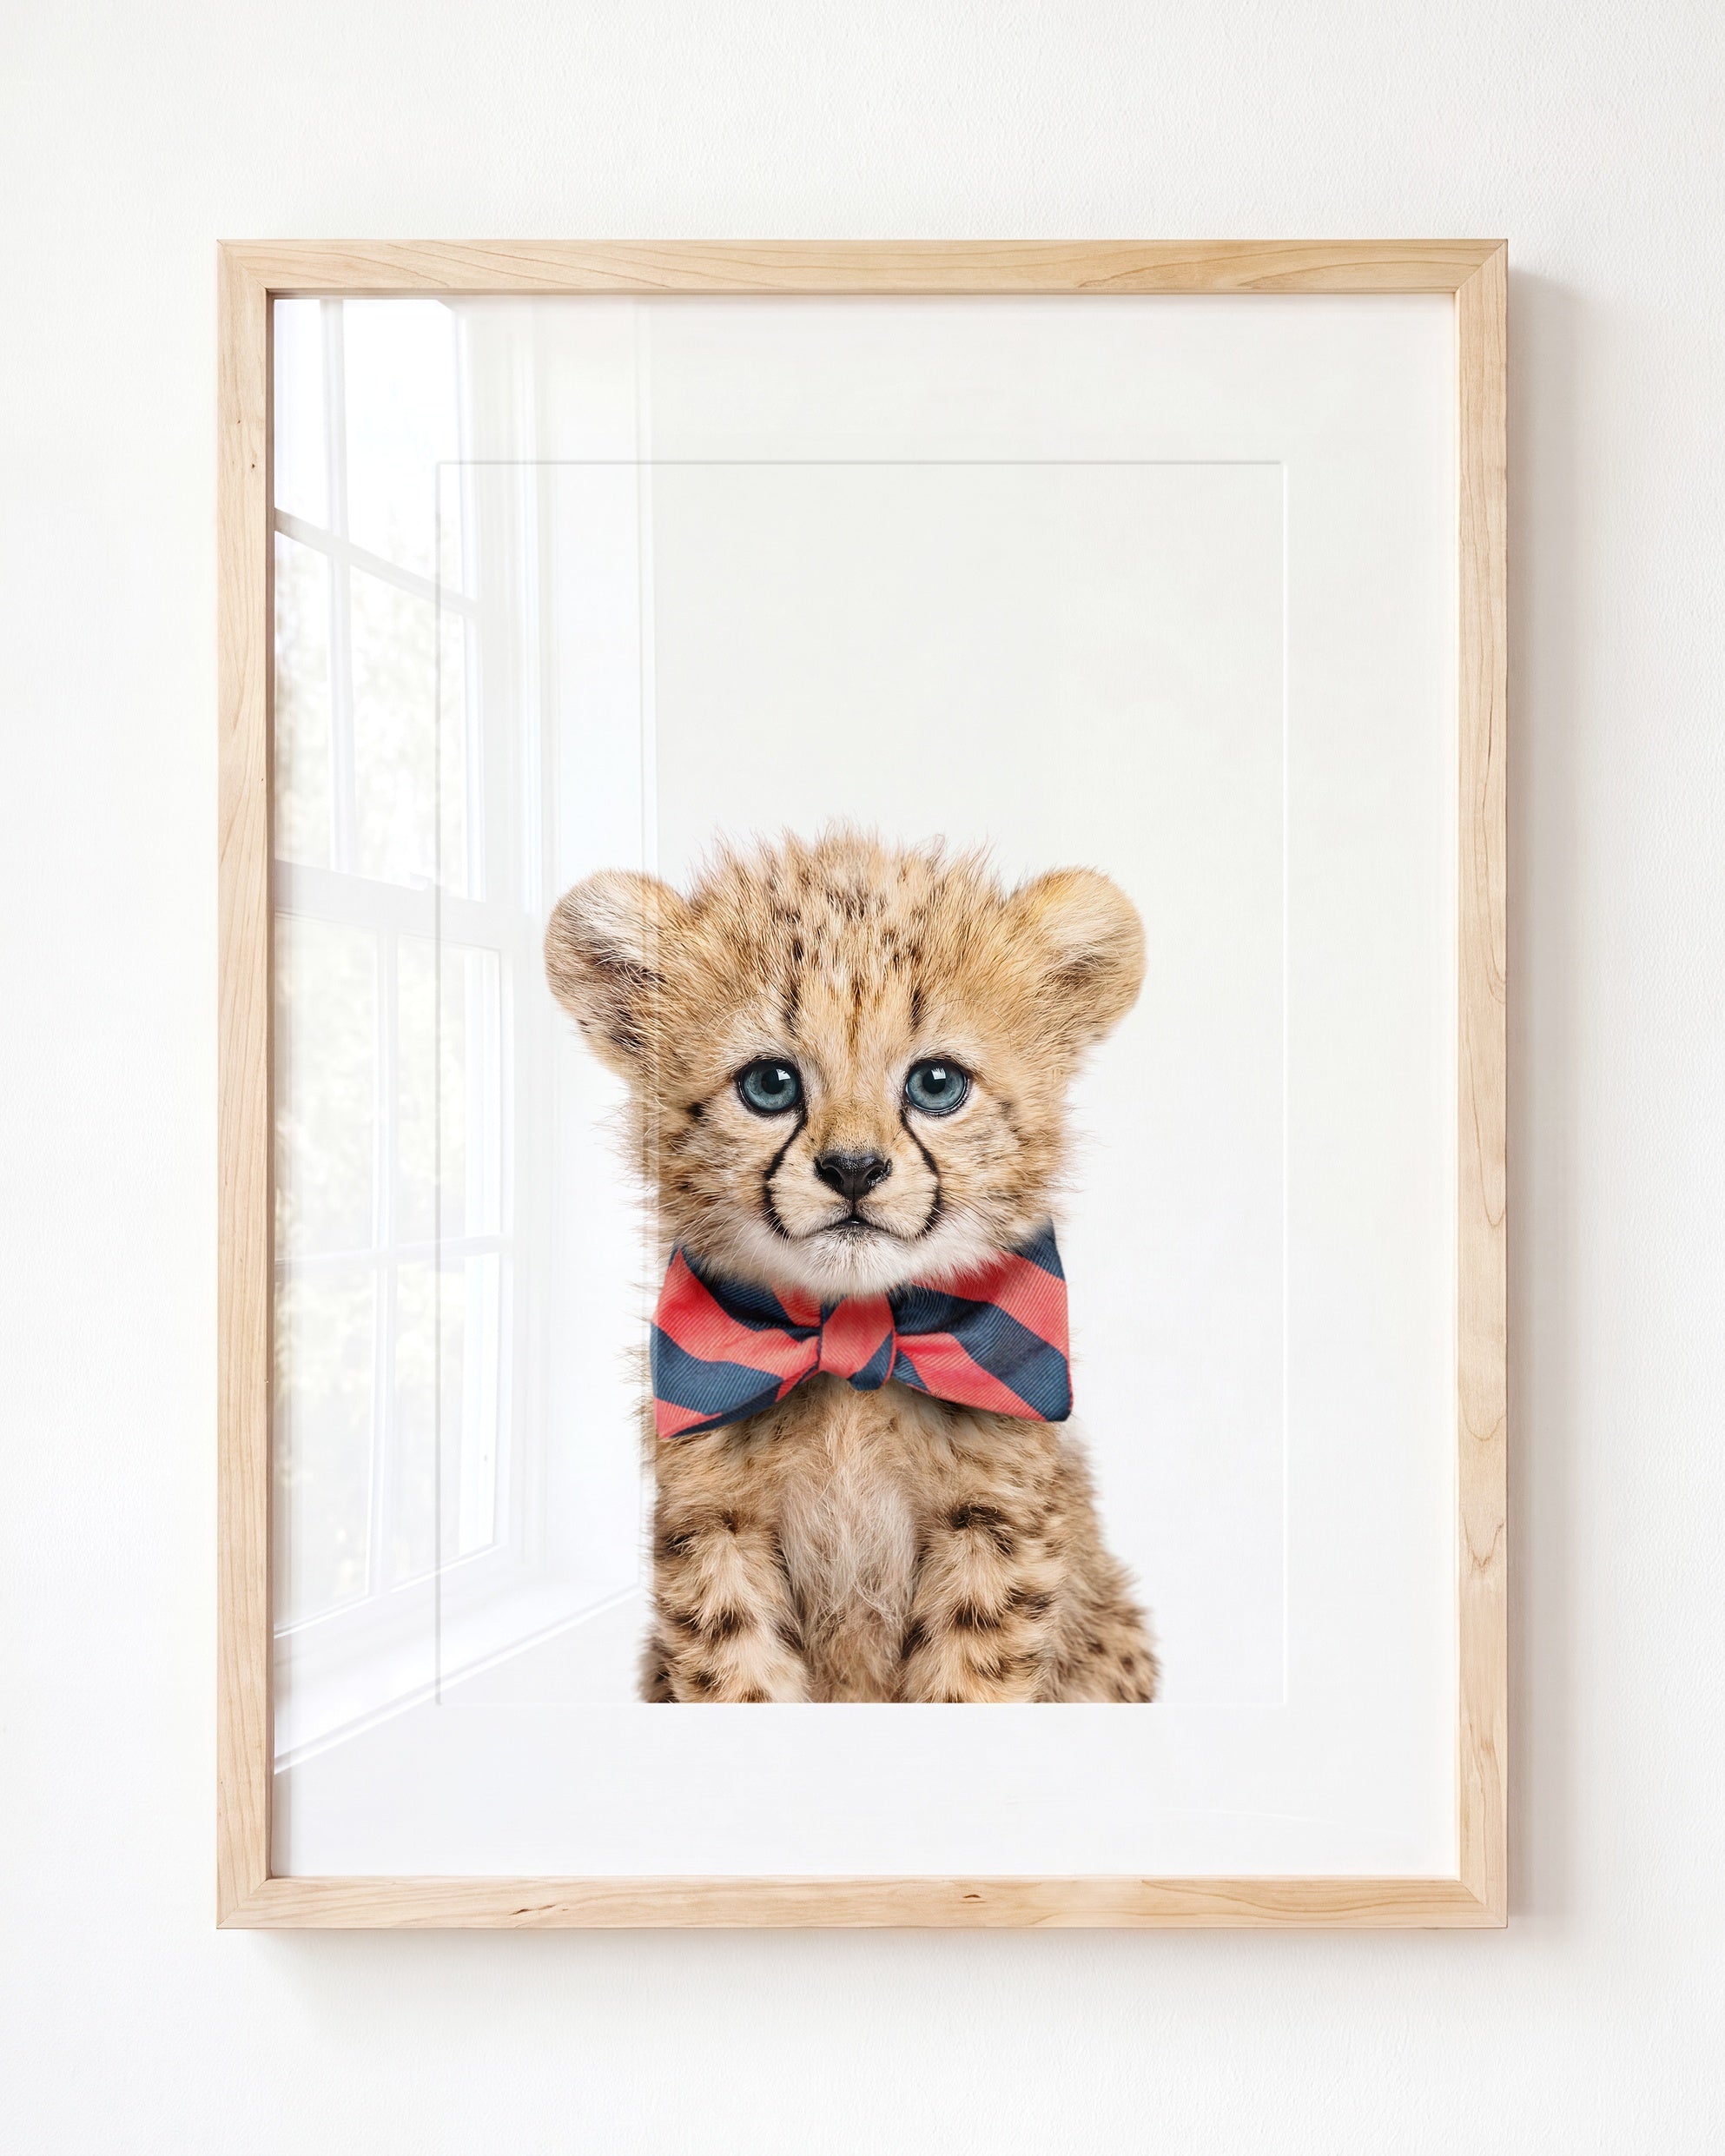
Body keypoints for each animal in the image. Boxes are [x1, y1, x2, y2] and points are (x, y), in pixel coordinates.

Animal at [544, 828, 1158, 1702]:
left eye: (937, 1083)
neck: (853, 1343)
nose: (855, 1169)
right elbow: (739, 1677)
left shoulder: (995, 1528)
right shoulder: (714, 1527)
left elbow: (969, 1681)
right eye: (770, 1084)